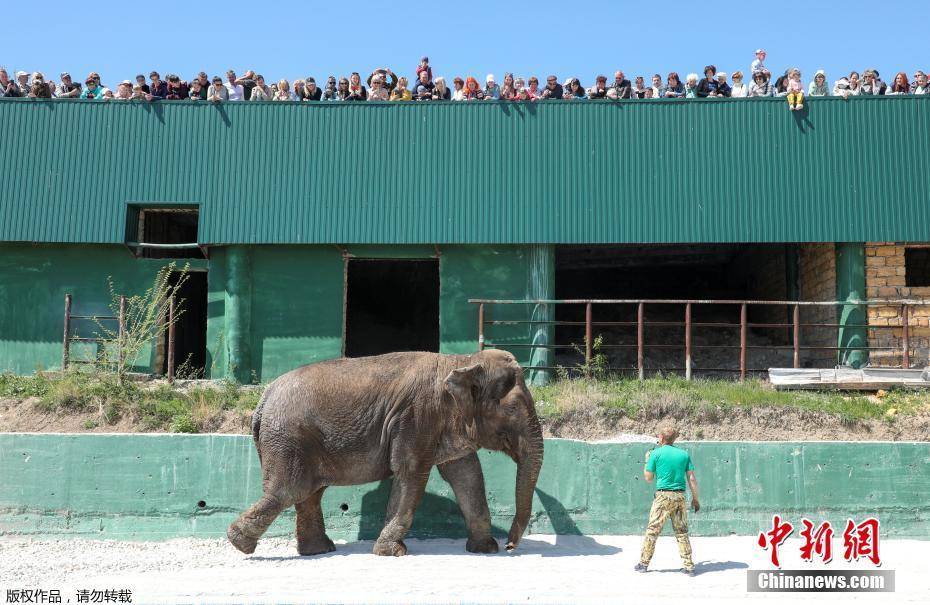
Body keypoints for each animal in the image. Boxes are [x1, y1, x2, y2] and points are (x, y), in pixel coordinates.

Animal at [227, 346, 544, 556]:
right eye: (512, 410)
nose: (510, 546)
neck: (462, 361)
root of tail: (262, 399)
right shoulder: (416, 417)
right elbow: (411, 472)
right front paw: (392, 552)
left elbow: (467, 474)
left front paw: (484, 550)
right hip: (288, 439)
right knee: (290, 490)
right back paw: (240, 543)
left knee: (310, 492)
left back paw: (318, 550)